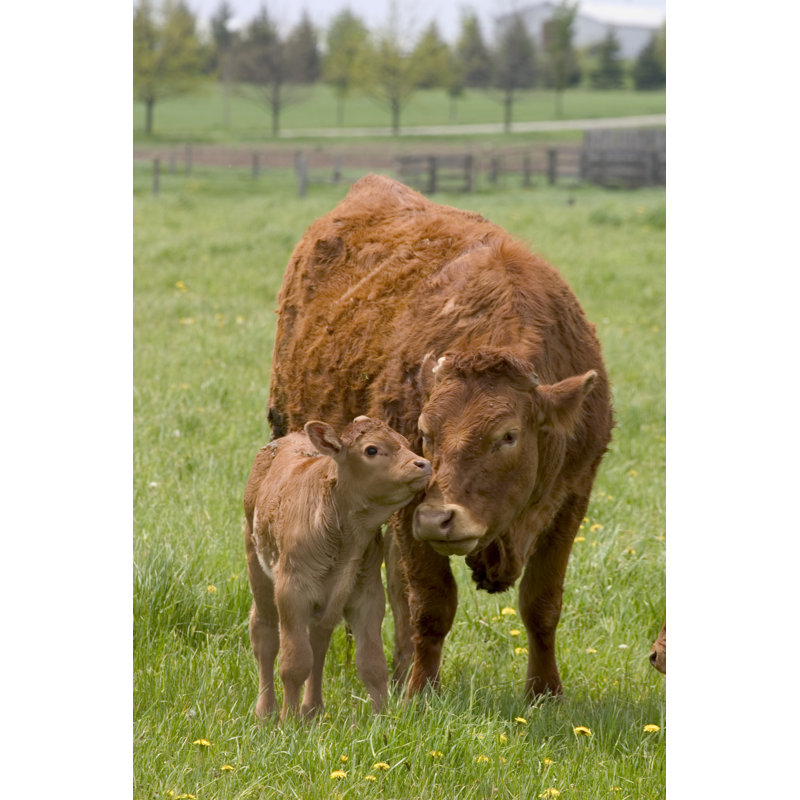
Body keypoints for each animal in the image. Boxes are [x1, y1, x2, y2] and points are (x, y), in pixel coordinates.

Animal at [244, 415, 431, 720]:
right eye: (371, 449)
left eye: (404, 442)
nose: (423, 464)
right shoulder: (291, 593)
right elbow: (295, 663)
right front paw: (288, 721)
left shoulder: (368, 596)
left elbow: (372, 664)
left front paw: (382, 720)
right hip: (257, 568)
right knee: (265, 634)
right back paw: (266, 712)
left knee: (319, 640)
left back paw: (312, 710)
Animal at [267, 174, 614, 699]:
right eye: (426, 432)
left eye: (508, 436)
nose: (438, 519)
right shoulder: (410, 504)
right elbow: (431, 605)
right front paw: (419, 692)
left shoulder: (572, 499)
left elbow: (541, 604)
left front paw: (545, 692)